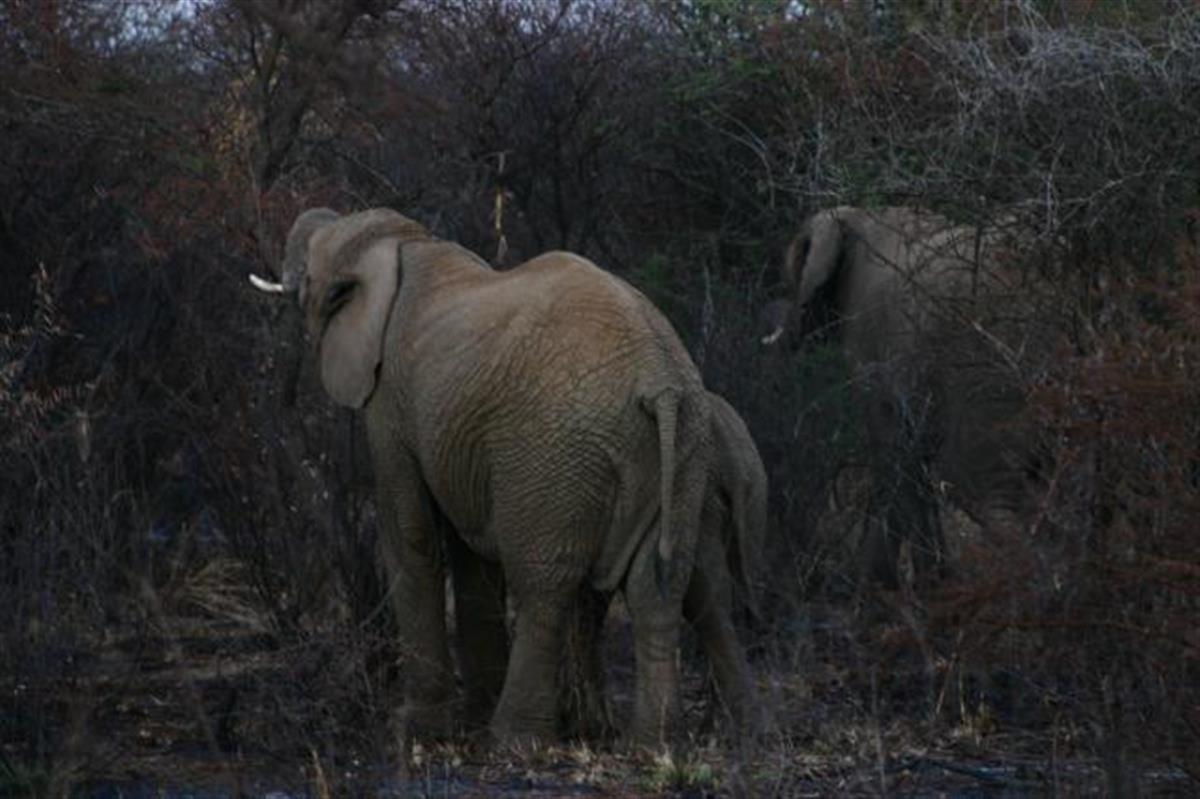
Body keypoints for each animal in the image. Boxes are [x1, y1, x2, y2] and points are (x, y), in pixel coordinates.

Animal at [250, 207, 720, 747]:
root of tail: (659, 380)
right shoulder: (460, 434)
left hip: (555, 451)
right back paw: (654, 742)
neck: (404, 242)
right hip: (685, 449)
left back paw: (514, 739)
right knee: (657, 585)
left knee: (543, 585)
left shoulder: (390, 402)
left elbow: (410, 535)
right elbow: (470, 555)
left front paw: (415, 729)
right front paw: (466, 718)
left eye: (309, 278)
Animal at [763, 205, 1051, 588]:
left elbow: (892, 450)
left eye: (791, 269)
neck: (855, 216)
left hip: (983, 368)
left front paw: (891, 587)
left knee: (981, 485)